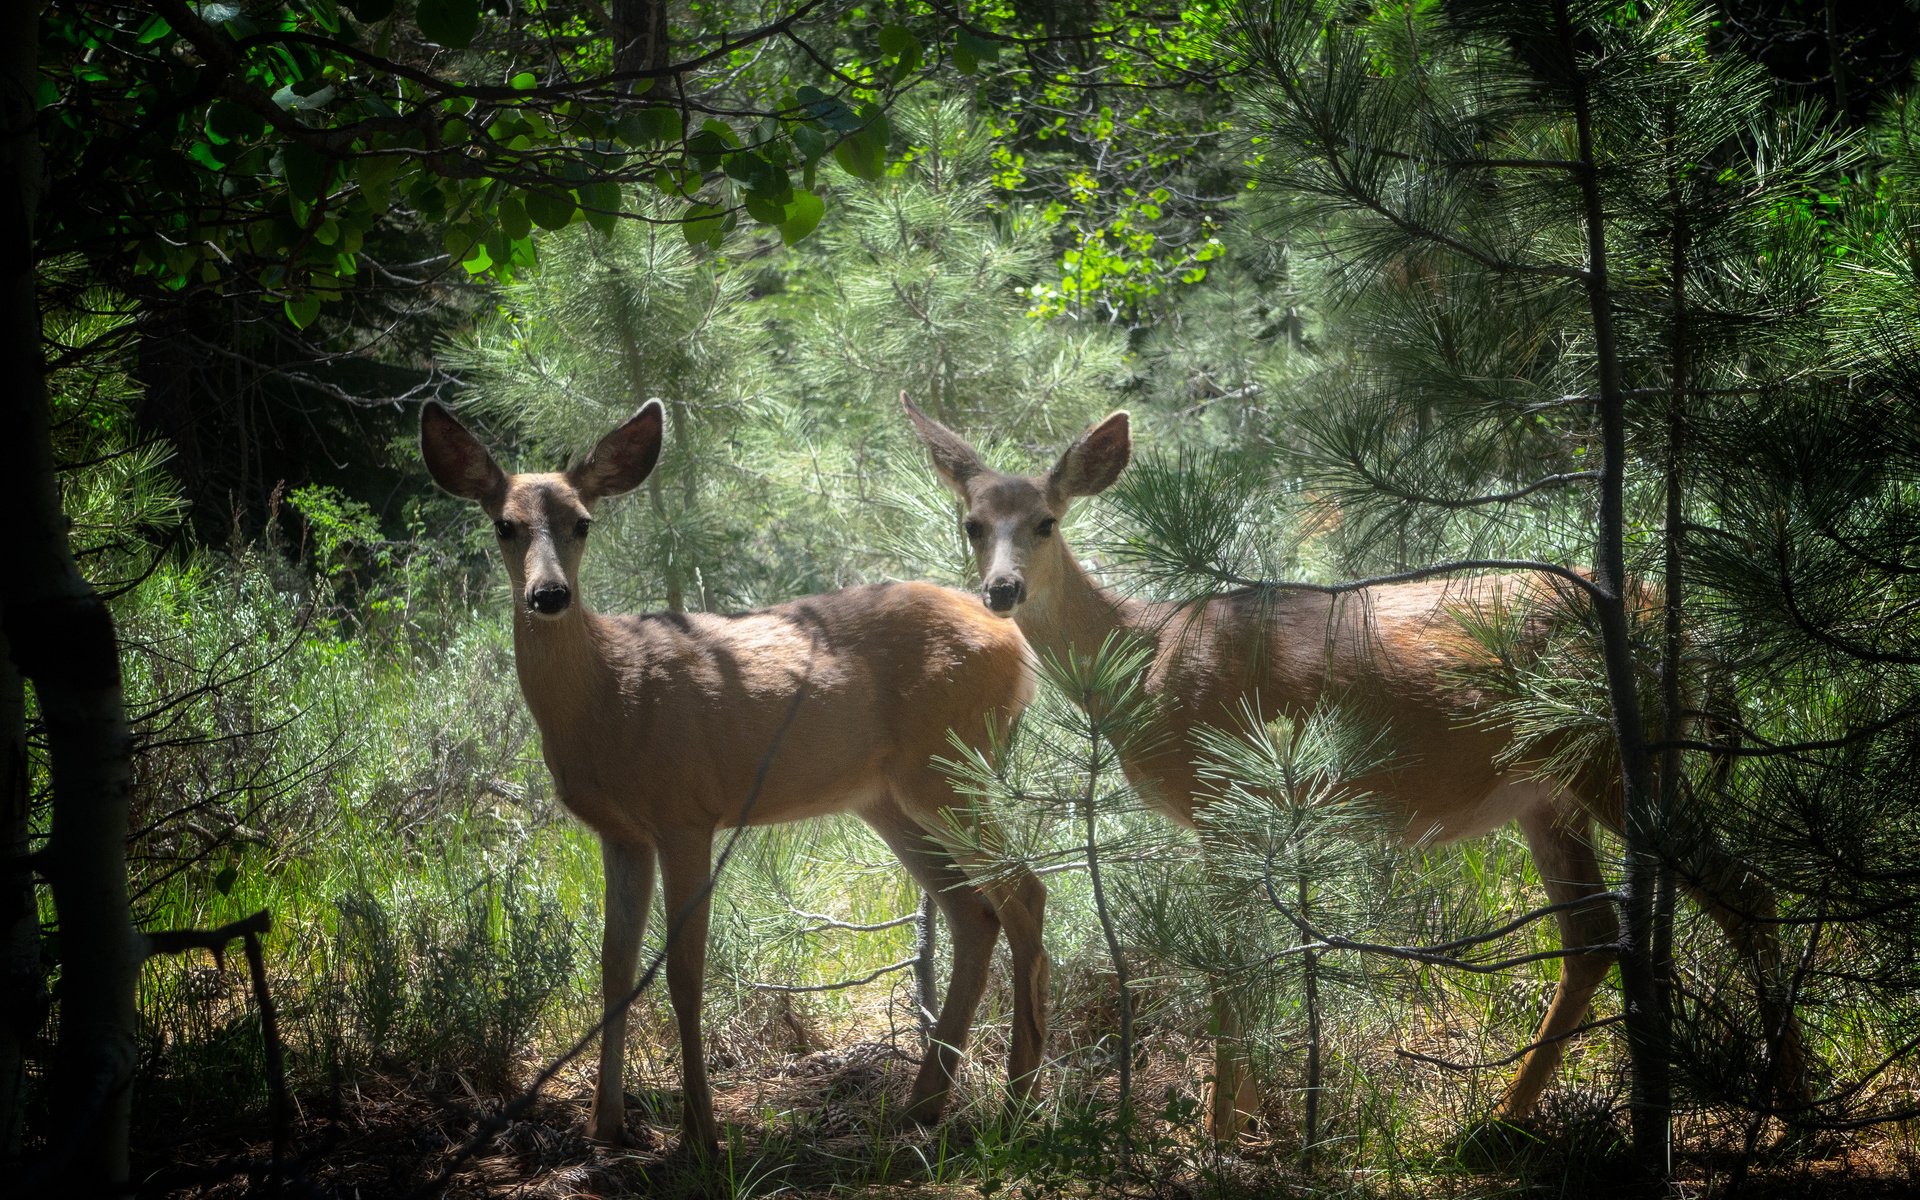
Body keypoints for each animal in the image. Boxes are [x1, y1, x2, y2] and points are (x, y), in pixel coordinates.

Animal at [420, 397, 1052, 1144]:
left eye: (582, 522)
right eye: (504, 524)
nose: (549, 595)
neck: (607, 695)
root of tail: (1017, 645)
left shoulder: (685, 814)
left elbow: (683, 974)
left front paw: (700, 1130)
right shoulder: (620, 833)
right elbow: (614, 967)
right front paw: (606, 1124)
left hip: (950, 765)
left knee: (1024, 893)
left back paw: (1017, 1104)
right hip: (889, 796)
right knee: (972, 912)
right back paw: (922, 1104)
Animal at [898, 397, 1797, 1136]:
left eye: (1047, 521)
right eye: (971, 522)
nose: (1002, 591)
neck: (1145, 654)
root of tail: (1693, 634)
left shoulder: (1225, 795)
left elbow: (1228, 961)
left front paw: (1220, 1130)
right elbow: (1248, 953)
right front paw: (1255, 1116)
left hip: (1608, 753)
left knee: (1746, 889)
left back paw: (1792, 1105)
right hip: (1547, 792)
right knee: (1593, 936)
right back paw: (1497, 1122)